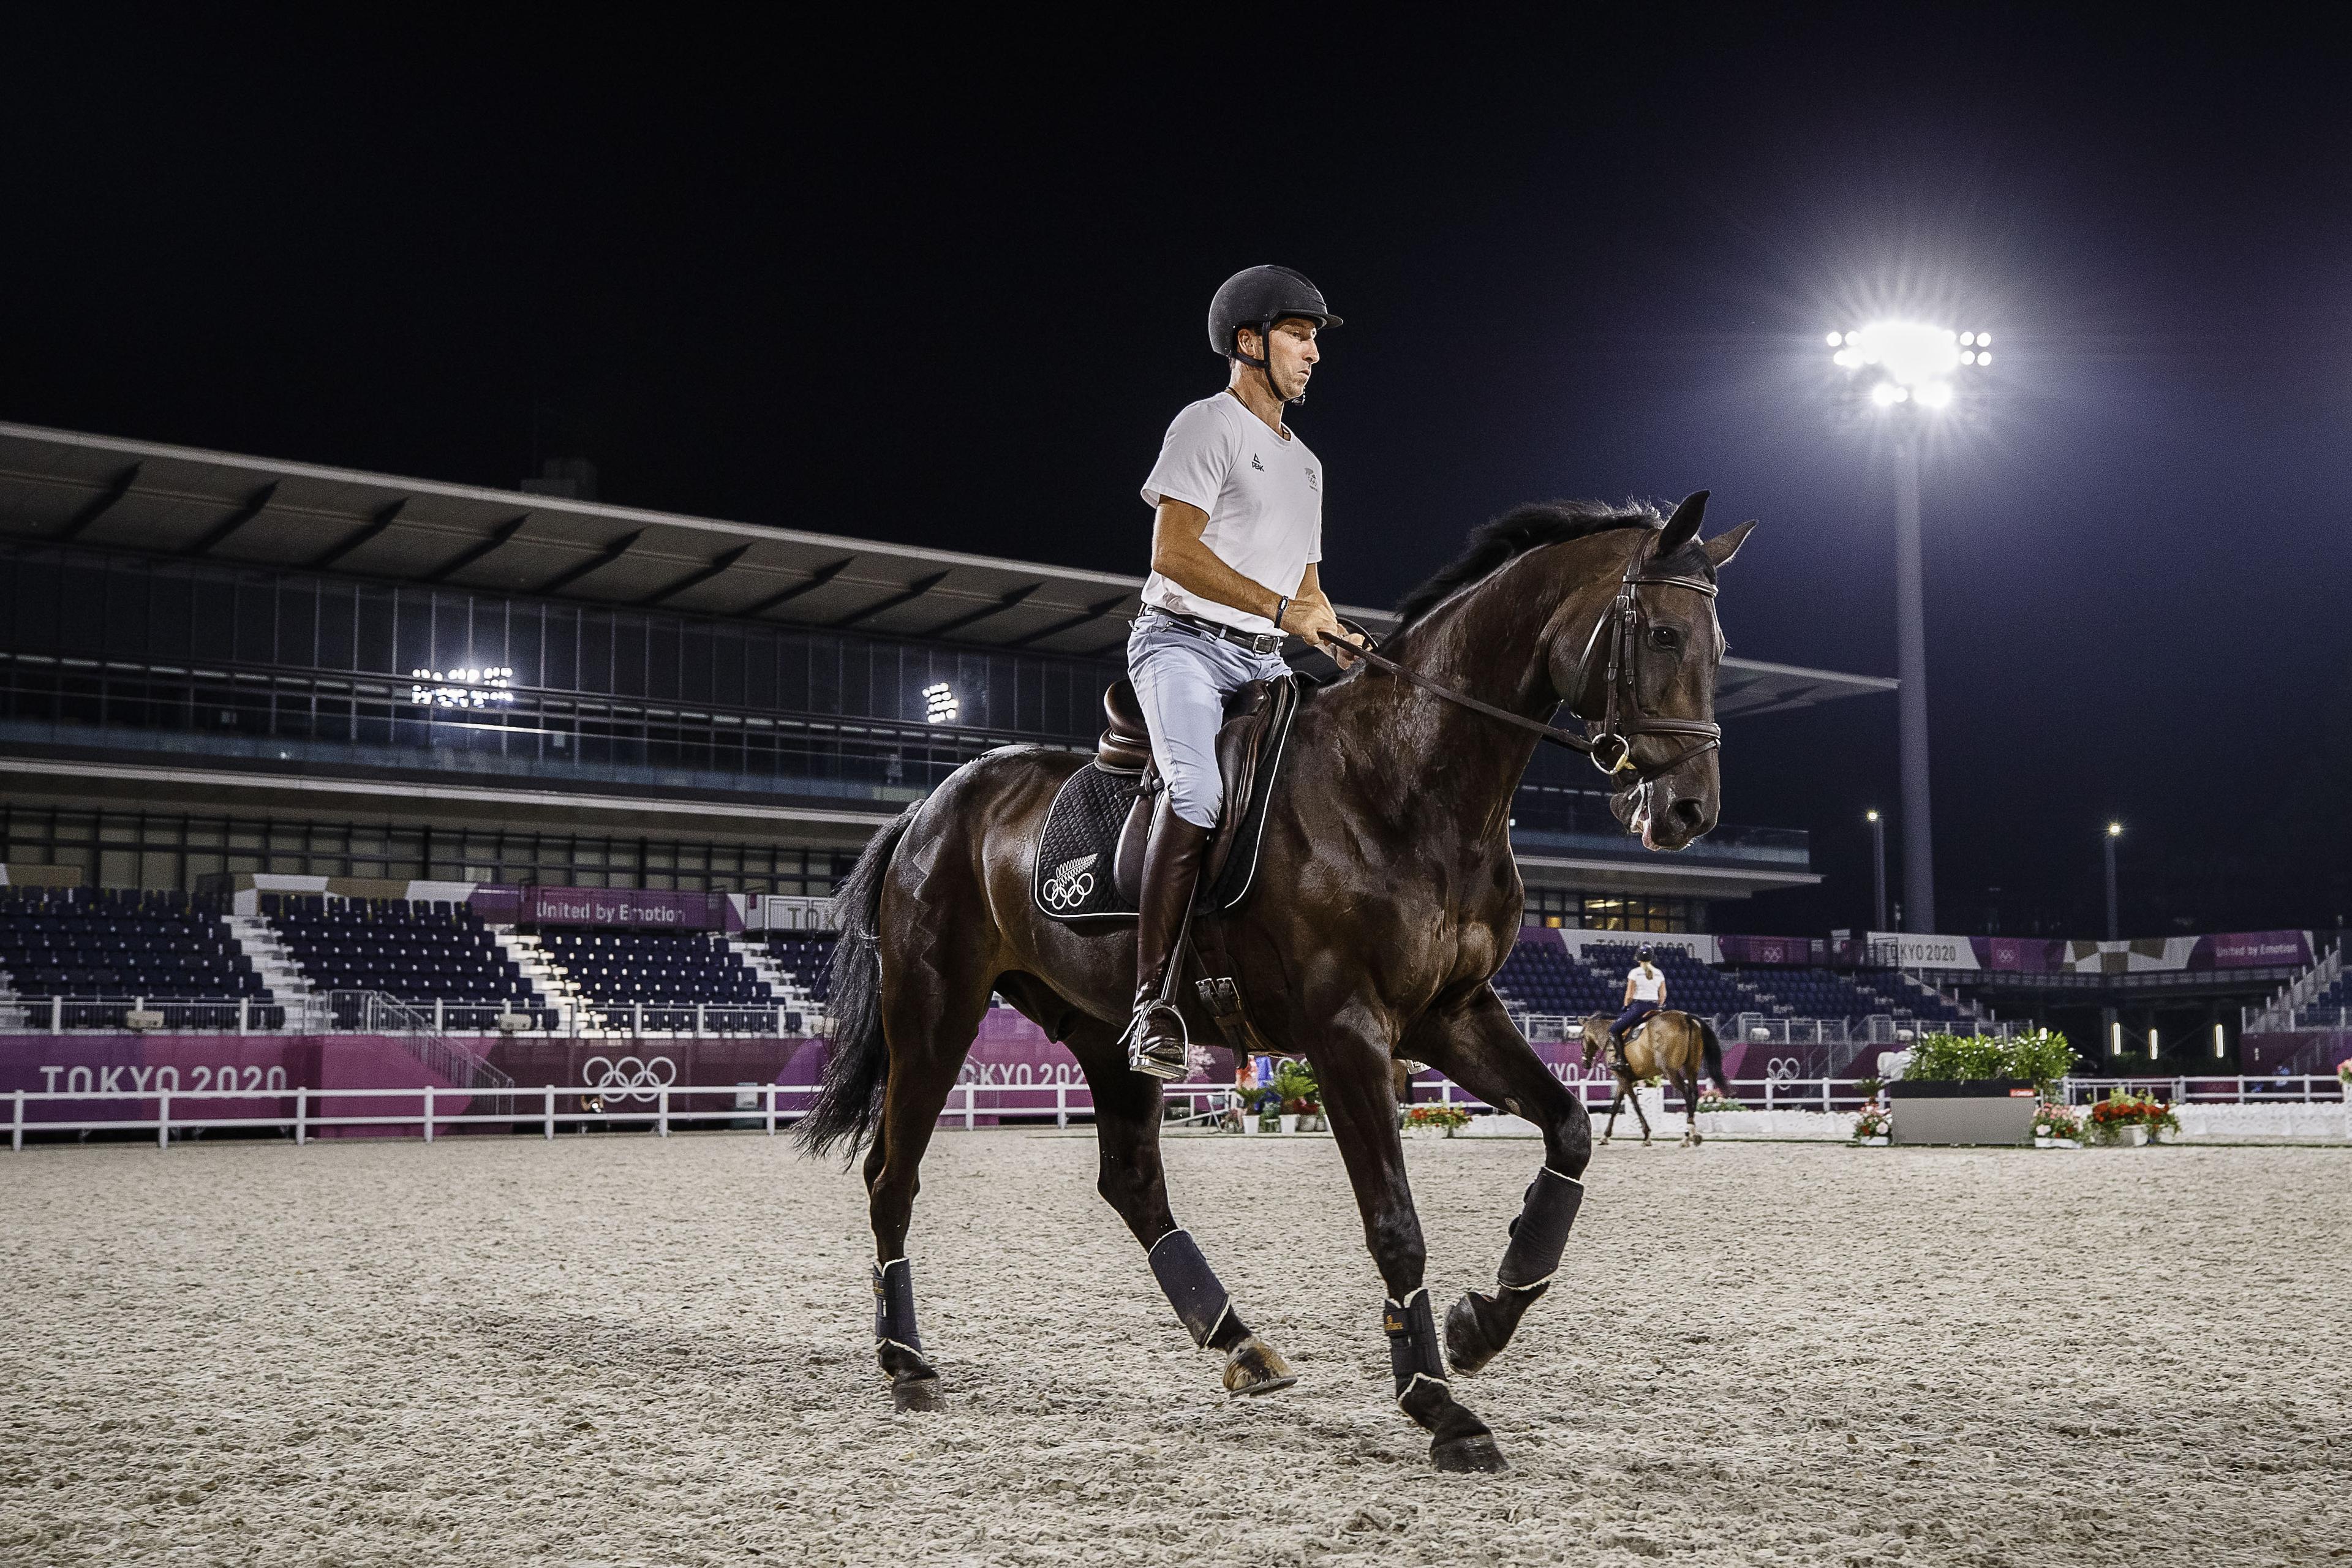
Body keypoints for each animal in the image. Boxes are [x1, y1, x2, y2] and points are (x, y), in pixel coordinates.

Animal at [799, 491, 1759, 1476]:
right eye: (1663, 635)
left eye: (1719, 644)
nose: (1690, 811)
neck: (1409, 781)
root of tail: (931, 806)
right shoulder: (1348, 1033)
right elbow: (1395, 1221)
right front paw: (1438, 1404)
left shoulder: (1451, 1015)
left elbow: (1568, 1129)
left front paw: (1479, 1325)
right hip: (936, 1012)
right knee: (892, 1177)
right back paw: (907, 1362)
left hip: (1104, 1032)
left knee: (1132, 1182)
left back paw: (1238, 1341)